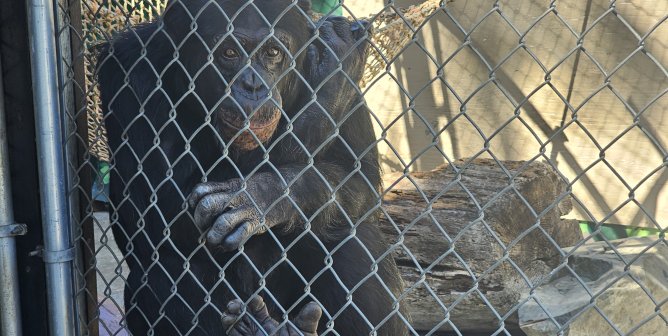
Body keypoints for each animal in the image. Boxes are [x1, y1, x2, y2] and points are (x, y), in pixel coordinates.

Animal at [96, 0, 410, 334]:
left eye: (271, 52)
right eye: (229, 53)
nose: (253, 85)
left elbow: (359, 178)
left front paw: (259, 197)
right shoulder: (129, 72)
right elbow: (153, 211)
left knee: (355, 239)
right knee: (162, 270)